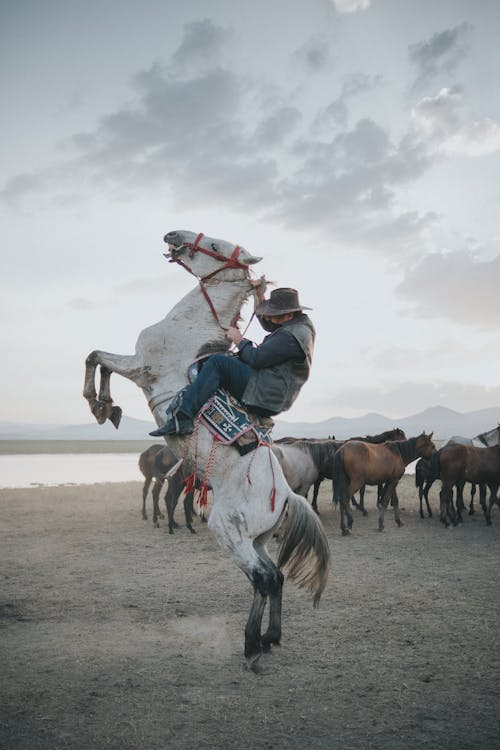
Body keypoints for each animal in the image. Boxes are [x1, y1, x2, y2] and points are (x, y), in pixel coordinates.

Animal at [83, 229, 330, 668]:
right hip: (256, 538)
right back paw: (271, 638)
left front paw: (100, 405)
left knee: (263, 579)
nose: (174, 235)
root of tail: (285, 495)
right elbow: (98, 359)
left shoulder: (138, 365)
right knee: (276, 576)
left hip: (229, 532)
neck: (187, 329)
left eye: (216, 246)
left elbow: (96, 356)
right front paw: (107, 408)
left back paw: (251, 645)